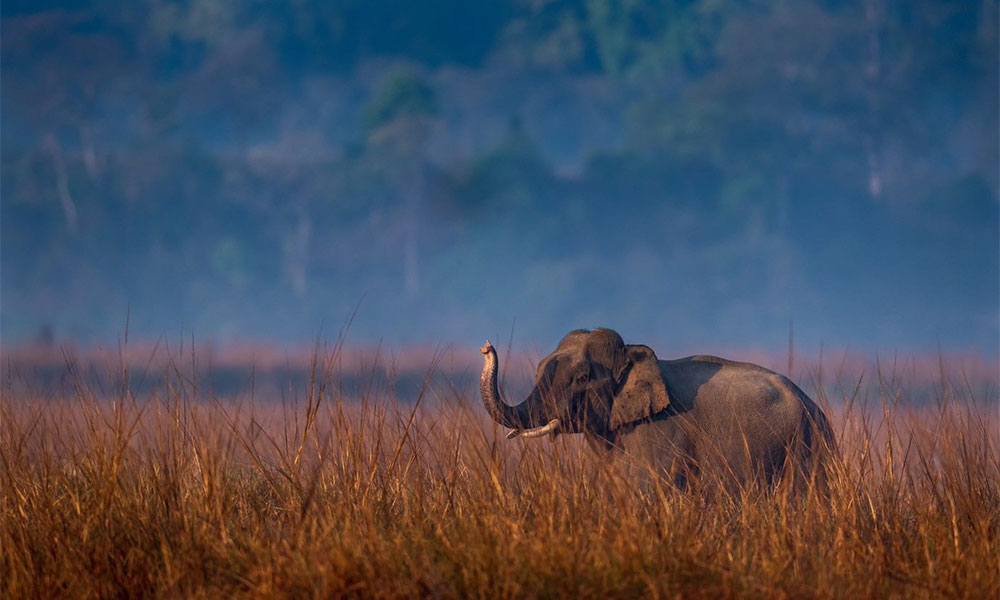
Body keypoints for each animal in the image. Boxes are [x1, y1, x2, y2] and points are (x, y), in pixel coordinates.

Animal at [480, 328, 840, 492]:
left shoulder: (661, 434)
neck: (634, 353)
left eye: (581, 378)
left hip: (807, 450)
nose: (486, 346)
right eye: (538, 369)